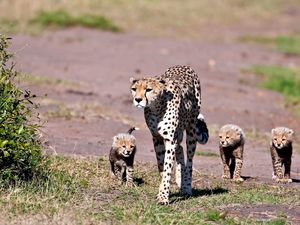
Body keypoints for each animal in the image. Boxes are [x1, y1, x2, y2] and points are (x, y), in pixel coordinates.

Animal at [129, 66, 209, 205]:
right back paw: (180, 180)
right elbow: (162, 166)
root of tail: (183, 66)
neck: (156, 108)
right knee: (180, 148)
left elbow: (167, 168)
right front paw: (164, 190)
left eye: (148, 89)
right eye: (134, 89)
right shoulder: (157, 138)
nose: (138, 100)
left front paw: (163, 197)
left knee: (190, 160)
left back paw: (186, 187)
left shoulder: (170, 139)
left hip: (191, 130)